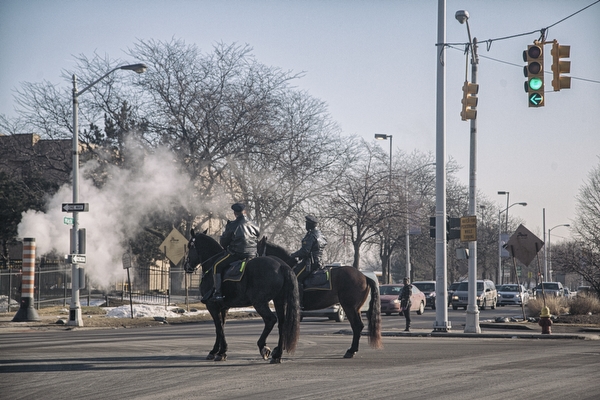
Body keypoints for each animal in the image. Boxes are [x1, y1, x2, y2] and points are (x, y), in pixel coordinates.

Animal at [184, 228, 300, 362]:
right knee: (282, 323)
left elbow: (218, 327)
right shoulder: (224, 307)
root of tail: (282, 265)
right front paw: (220, 351)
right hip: (279, 300)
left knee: (270, 320)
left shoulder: (211, 306)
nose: (186, 266)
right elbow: (221, 326)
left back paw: (263, 347)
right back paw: (277, 355)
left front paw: (217, 351)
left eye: (190, 246)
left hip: (259, 302)